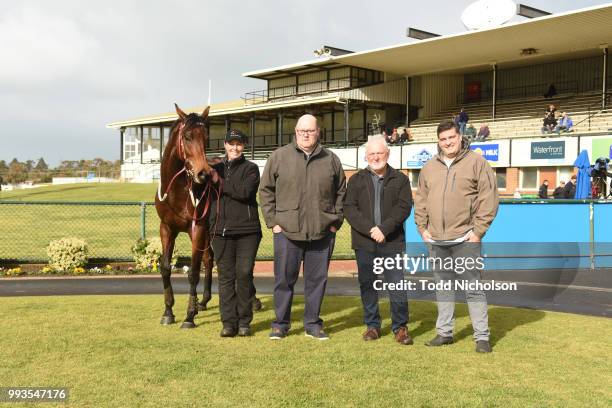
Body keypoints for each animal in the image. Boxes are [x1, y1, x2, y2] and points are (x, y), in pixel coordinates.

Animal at [154, 104, 216, 328]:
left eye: (206, 137)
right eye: (188, 136)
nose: (204, 174)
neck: (175, 193)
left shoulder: (196, 227)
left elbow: (193, 272)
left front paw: (189, 316)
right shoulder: (166, 228)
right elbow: (165, 267)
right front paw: (168, 311)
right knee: (209, 258)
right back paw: (203, 301)